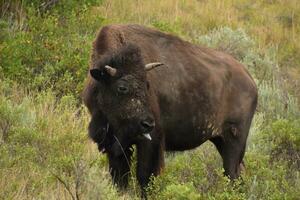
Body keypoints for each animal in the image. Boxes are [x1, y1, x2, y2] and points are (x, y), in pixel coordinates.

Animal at [82, 23, 258, 197]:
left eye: (147, 85)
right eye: (122, 87)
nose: (147, 124)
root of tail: (250, 81)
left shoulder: (151, 142)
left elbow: (145, 176)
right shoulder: (115, 145)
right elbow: (120, 178)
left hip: (234, 142)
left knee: (232, 173)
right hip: (220, 140)